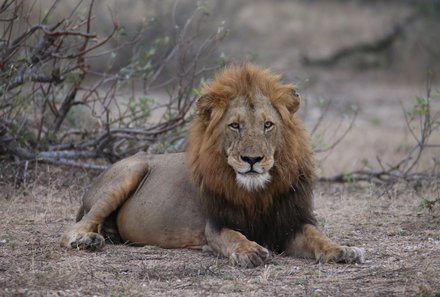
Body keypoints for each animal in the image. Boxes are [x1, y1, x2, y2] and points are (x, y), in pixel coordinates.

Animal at [61, 63, 364, 268]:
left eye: (268, 125)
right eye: (235, 126)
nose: (252, 160)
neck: (258, 194)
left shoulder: (292, 222)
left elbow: (318, 236)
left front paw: (343, 250)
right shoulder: (216, 224)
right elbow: (232, 236)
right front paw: (250, 251)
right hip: (130, 172)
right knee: (75, 228)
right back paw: (87, 240)